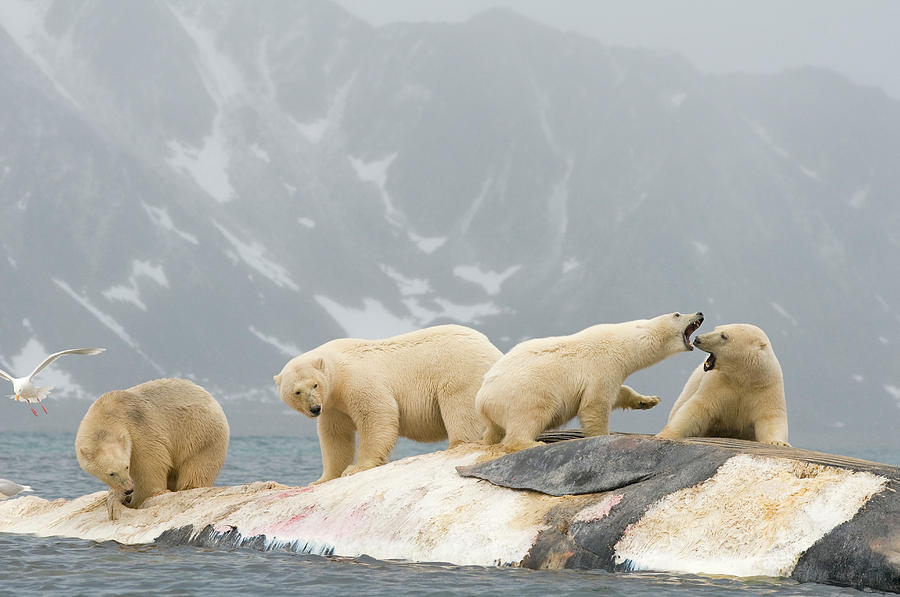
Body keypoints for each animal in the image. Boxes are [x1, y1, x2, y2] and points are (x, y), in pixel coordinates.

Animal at [274, 324, 502, 482]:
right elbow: (335, 436)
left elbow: (376, 414)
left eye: (314, 385)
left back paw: (458, 444)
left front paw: (356, 467)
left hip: (461, 371)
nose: (314, 409)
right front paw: (323, 478)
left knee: (461, 408)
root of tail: (494, 350)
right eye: (296, 392)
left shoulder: (356, 380)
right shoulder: (333, 406)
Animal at [652, 324, 788, 444]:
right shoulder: (719, 382)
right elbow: (698, 408)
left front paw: (778, 443)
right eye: (716, 328)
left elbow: (770, 416)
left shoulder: (766, 386)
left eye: (724, 336)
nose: (697, 339)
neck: (743, 377)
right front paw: (666, 434)